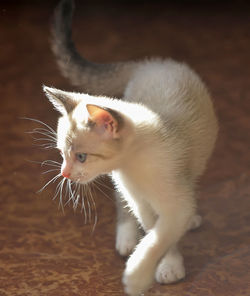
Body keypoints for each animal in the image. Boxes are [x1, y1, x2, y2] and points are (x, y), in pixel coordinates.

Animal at [43, 0, 219, 294]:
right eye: (62, 154)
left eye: (81, 157)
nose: (64, 173)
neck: (133, 166)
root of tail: (151, 63)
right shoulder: (140, 200)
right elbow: (155, 232)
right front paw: (167, 263)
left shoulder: (175, 203)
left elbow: (159, 236)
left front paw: (140, 274)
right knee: (122, 201)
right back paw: (126, 238)